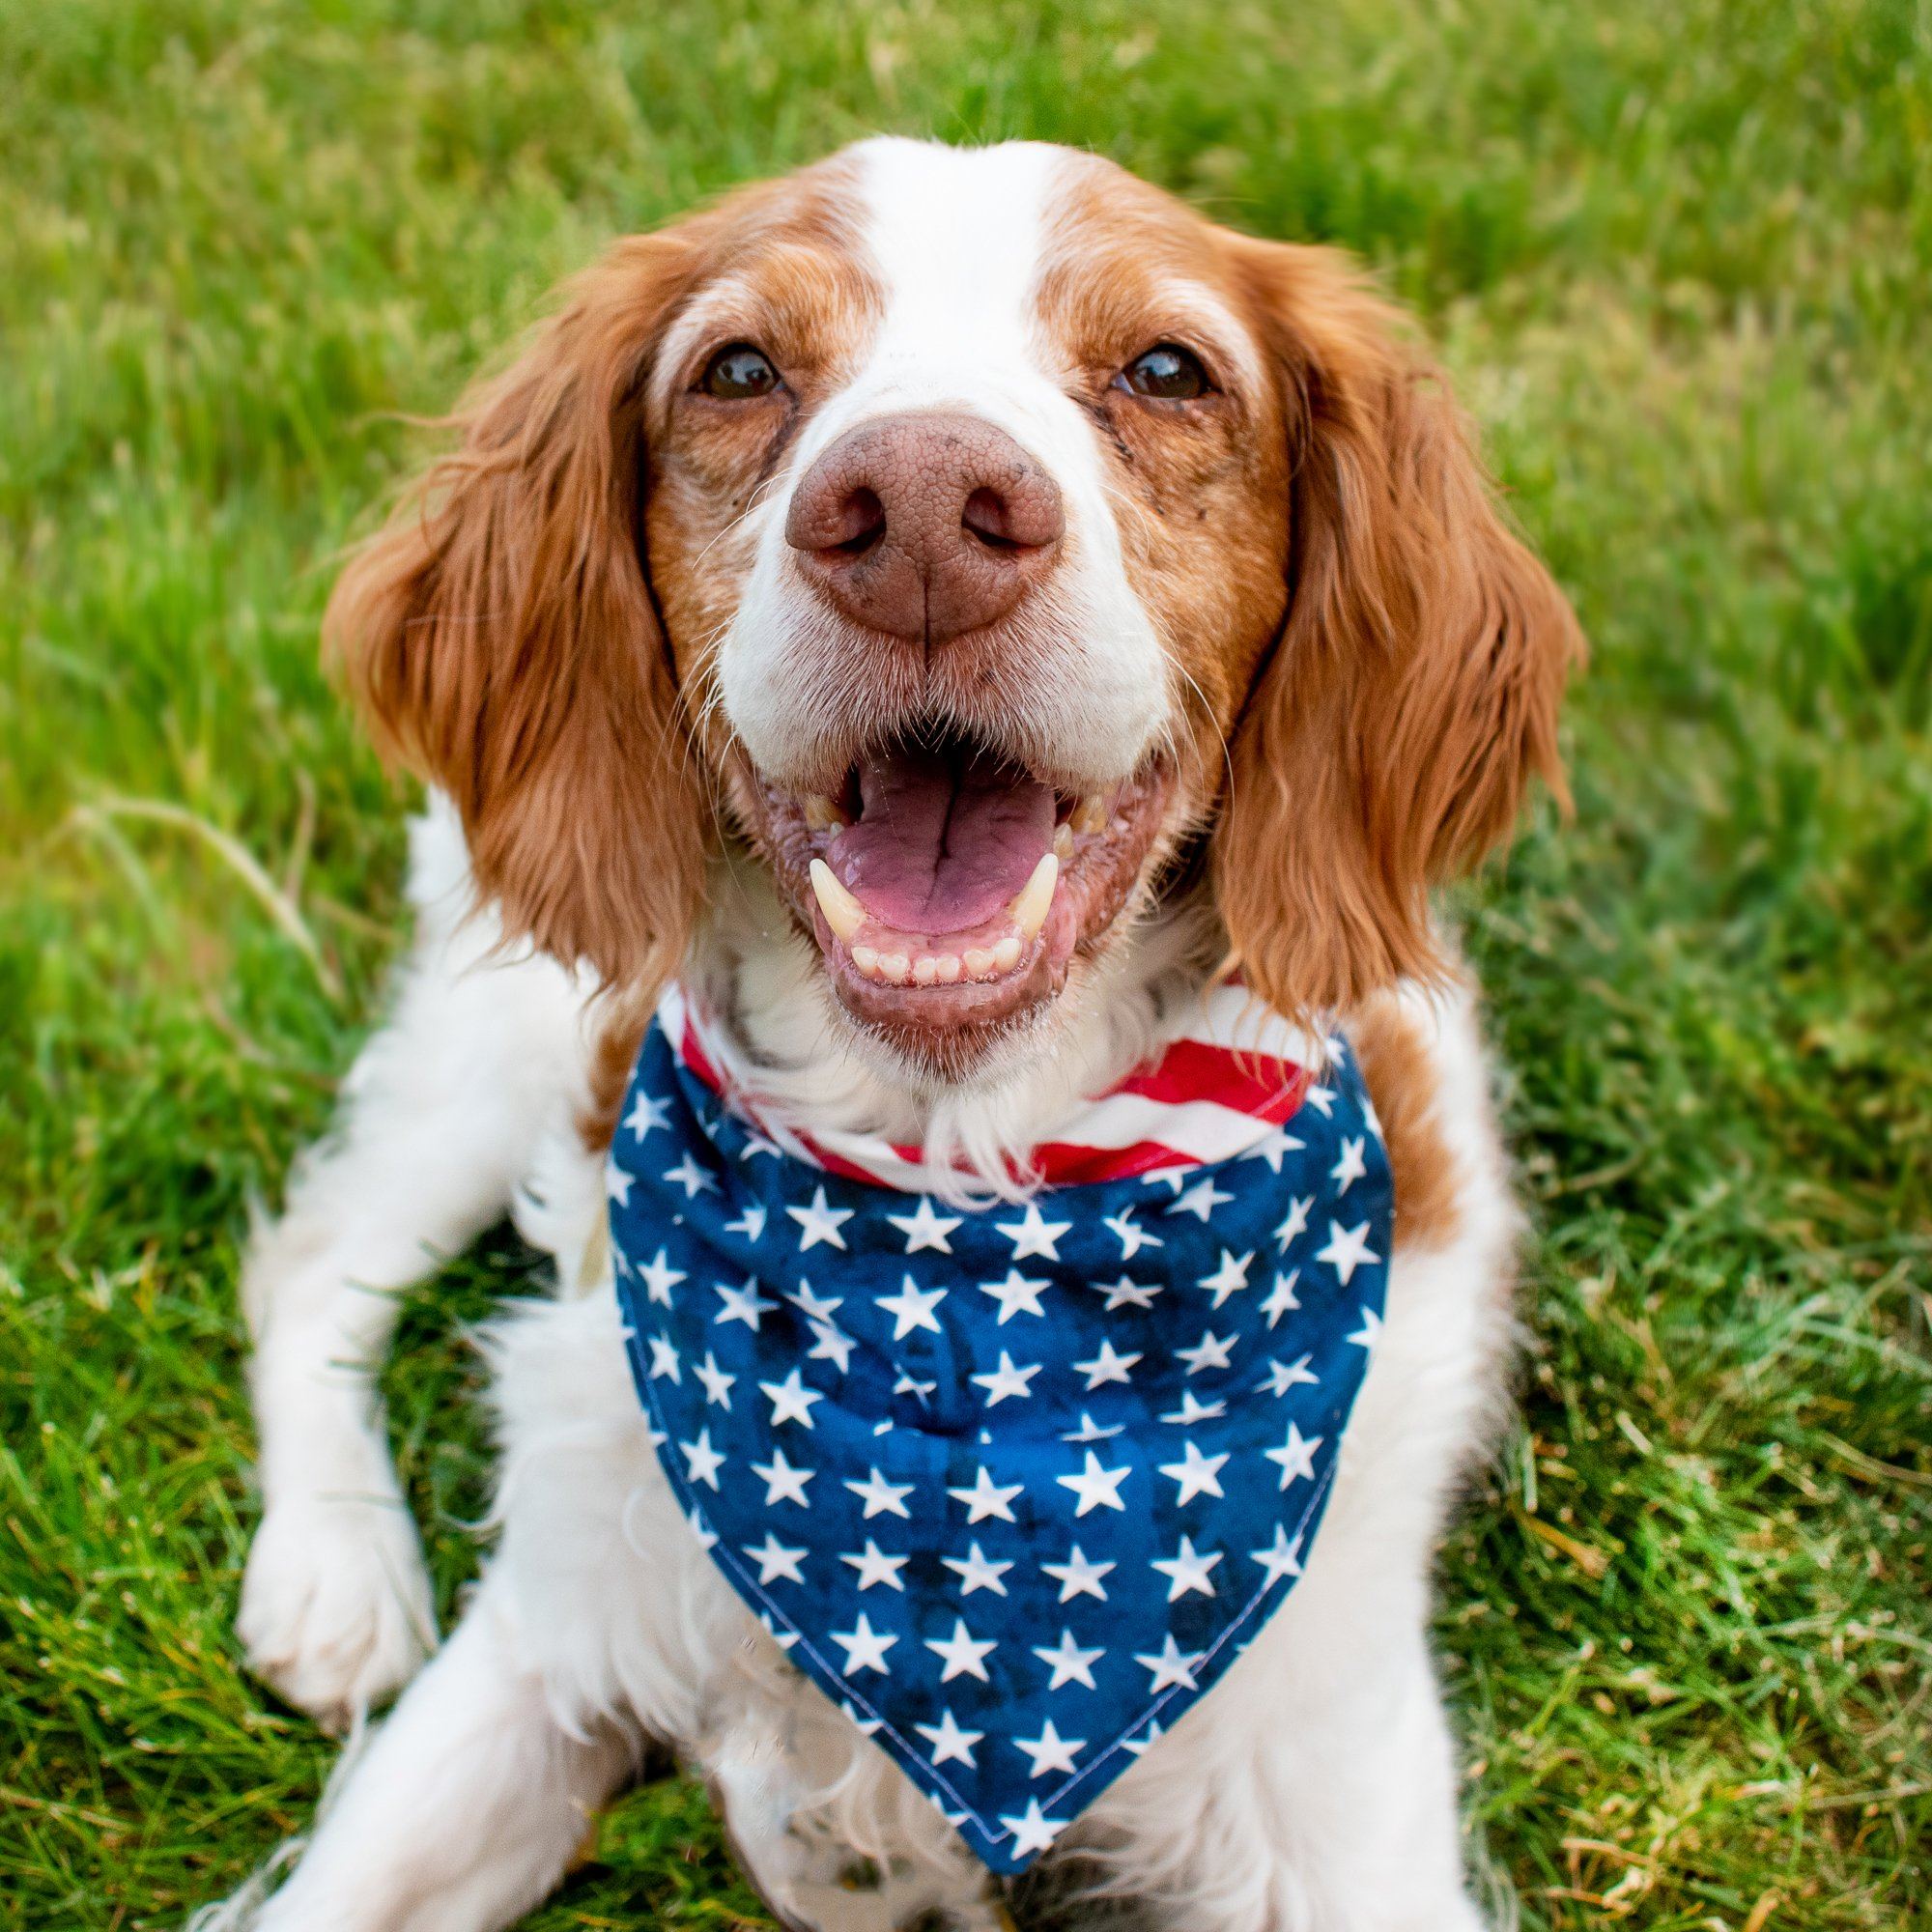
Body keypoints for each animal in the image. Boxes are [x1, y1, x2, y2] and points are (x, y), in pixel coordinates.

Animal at [222, 140, 1584, 1932]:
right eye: (739, 371)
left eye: (1168, 370)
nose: (925, 513)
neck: (957, 1217)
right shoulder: (546, 1649)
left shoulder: (1330, 1800)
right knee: (316, 1260)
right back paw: (333, 1573)